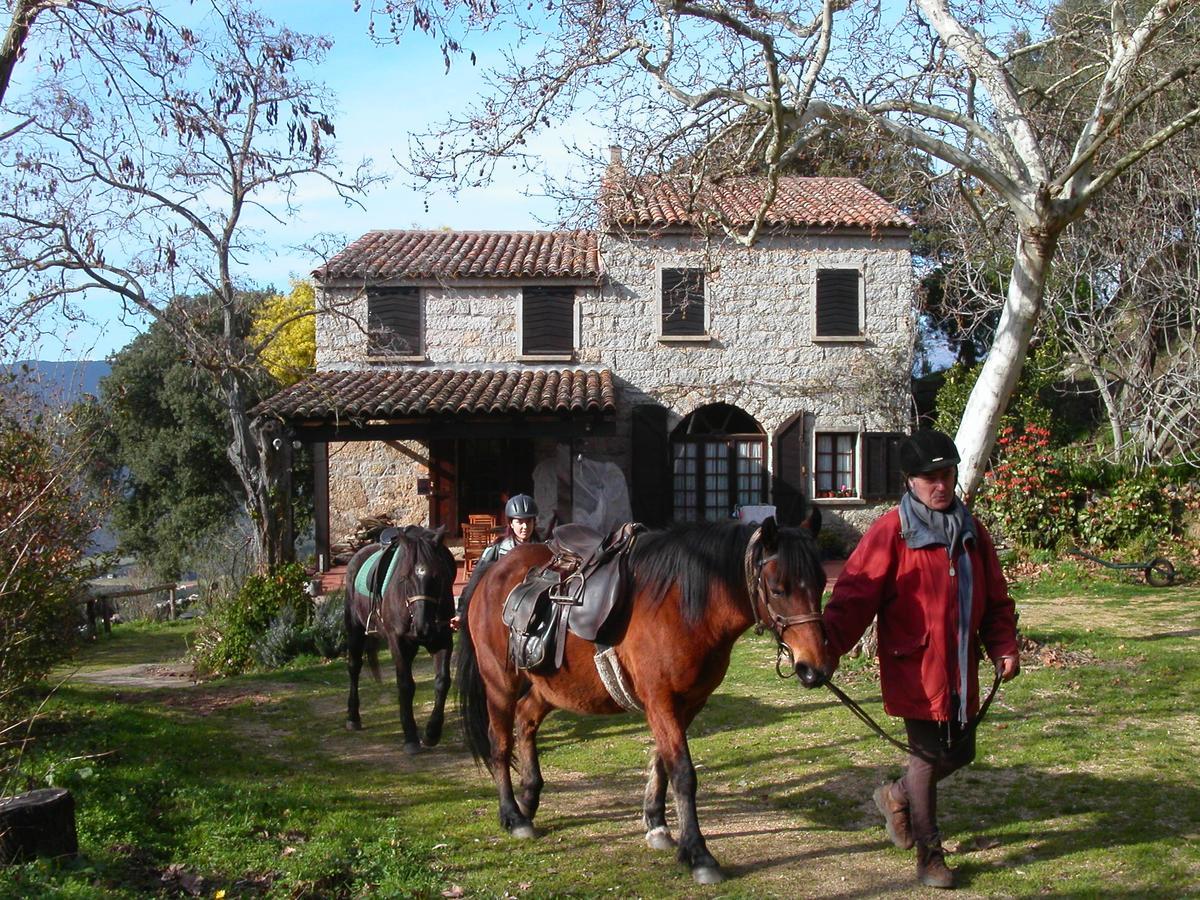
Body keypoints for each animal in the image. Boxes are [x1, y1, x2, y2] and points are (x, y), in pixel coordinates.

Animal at [350, 525, 460, 758]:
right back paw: (353, 717)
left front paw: (431, 732)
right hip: (354, 629)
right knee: (354, 667)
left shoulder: (443, 639)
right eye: (404, 578)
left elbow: (442, 681)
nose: (422, 627)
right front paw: (410, 737)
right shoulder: (397, 642)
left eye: (437, 576)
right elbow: (405, 685)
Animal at [453, 518, 840, 883]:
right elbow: (682, 772)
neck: (683, 607)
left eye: (821, 582)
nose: (815, 668)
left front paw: (657, 824)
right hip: (500, 682)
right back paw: (512, 815)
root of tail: (492, 572)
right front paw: (698, 854)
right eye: (777, 589)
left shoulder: (687, 703)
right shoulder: (661, 701)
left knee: (526, 718)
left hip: (550, 687)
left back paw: (529, 799)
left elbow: (662, 762)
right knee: (500, 743)